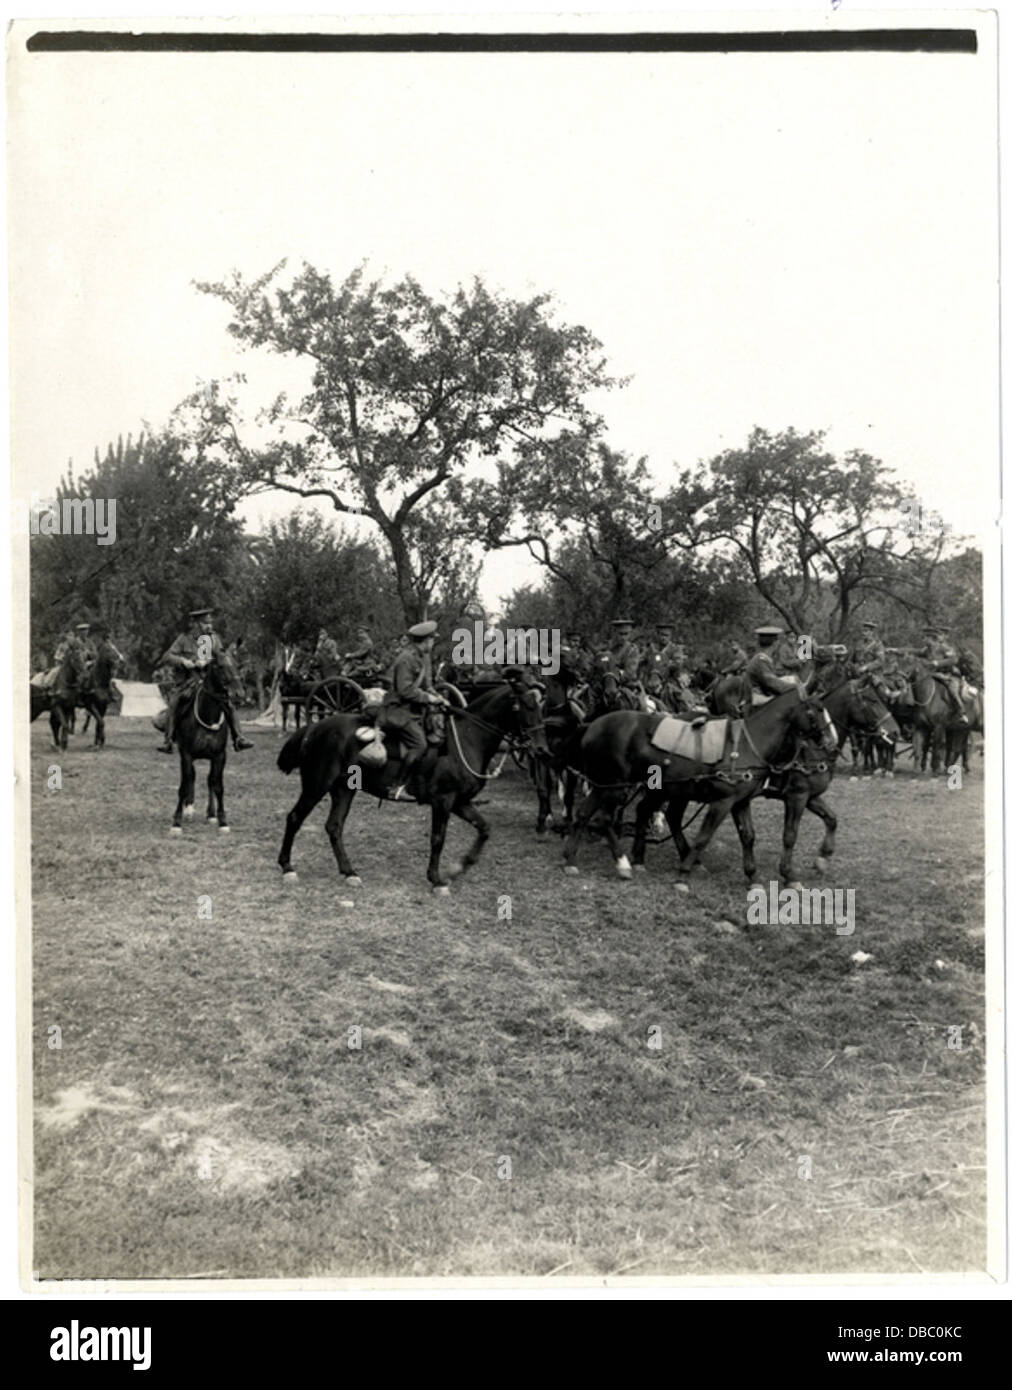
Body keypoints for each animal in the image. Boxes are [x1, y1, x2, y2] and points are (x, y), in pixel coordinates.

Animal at [168, 644, 244, 828]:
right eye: (220, 666)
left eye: (237, 666)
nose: (238, 694)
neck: (208, 714)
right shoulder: (186, 755)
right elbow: (184, 785)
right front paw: (177, 821)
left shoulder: (219, 756)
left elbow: (218, 786)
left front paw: (222, 820)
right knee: (191, 778)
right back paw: (189, 809)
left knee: (209, 780)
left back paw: (211, 813)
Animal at [275, 672, 544, 889]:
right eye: (525, 705)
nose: (540, 748)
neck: (466, 740)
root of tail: (313, 728)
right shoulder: (443, 801)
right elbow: (438, 839)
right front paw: (436, 879)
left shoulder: (460, 802)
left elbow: (484, 829)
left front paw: (459, 867)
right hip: (316, 786)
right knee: (295, 817)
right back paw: (287, 867)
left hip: (343, 790)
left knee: (334, 826)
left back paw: (349, 872)